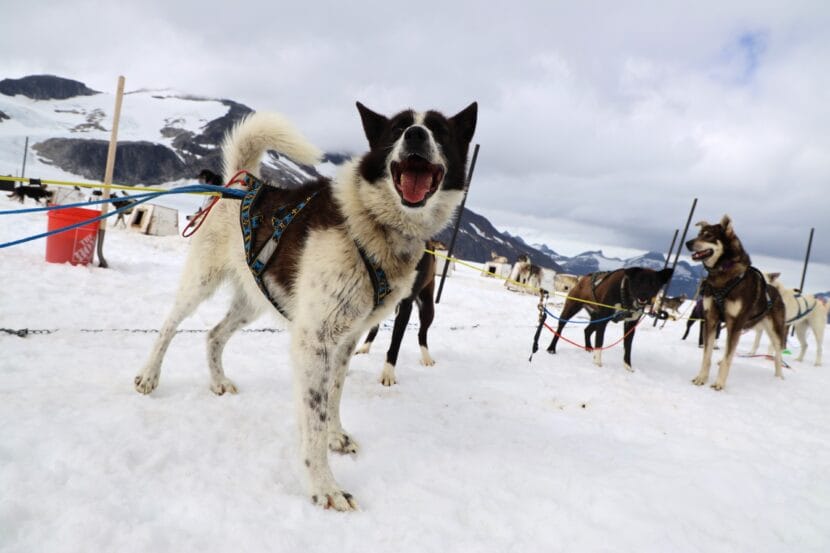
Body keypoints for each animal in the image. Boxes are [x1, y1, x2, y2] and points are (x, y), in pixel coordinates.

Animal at [134, 102, 478, 508]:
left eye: (439, 130)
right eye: (397, 129)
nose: (416, 135)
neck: (373, 227)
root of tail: (240, 183)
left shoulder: (347, 339)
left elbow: (333, 395)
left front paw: (336, 435)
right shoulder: (314, 338)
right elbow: (313, 415)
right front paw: (324, 486)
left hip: (254, 299)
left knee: (214, 335)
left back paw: (218, 381)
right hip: (201, 282)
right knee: (169, 325)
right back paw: (148, 376)